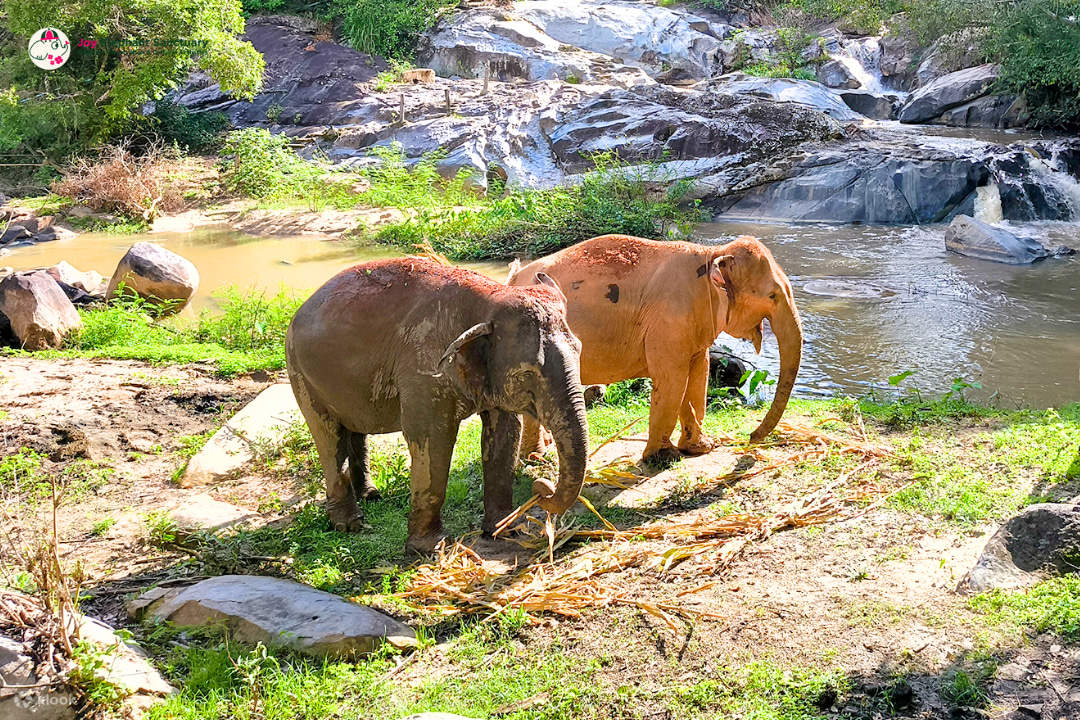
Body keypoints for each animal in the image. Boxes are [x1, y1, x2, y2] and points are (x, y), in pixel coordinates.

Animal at [286, 257, 589, 553]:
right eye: (527, 373)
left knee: (353, 428)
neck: (489, 300)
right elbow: (432, 437)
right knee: (328, 436)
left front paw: (505, 531)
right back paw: (350, 525)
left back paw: (371, 495)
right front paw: (429, 549)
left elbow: (505, 432)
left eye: (580, 350)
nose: (541, 487)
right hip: (301, 373)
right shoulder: (422, 369)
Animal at [507, 234, 803, 465]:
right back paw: (537, 458)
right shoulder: (669, 320)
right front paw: (663, 457)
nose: (750, 438)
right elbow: (672, 379)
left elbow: (698, 375)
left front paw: (700, 448)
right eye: (772, 296)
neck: (712, 254)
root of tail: (513, 278)